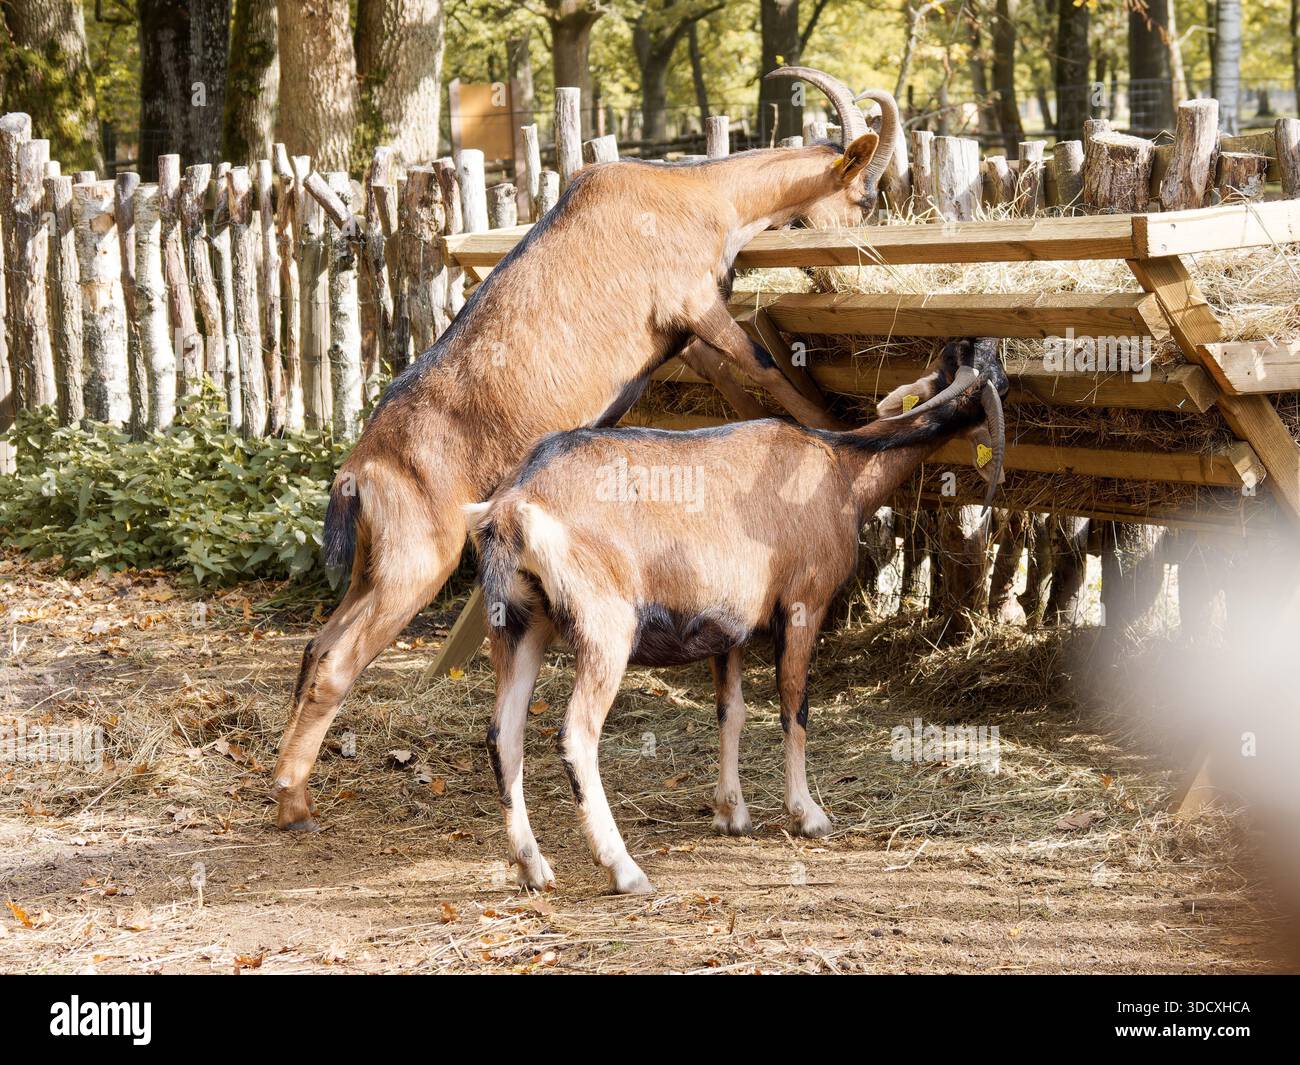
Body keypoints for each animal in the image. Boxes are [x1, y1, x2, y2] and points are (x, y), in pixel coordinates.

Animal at [272, 69, 900, 830]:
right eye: (864, 195)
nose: (861, 259)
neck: (694, 193)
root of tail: (358, 472)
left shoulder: (681, 338)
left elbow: (740, 376)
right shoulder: (694, 305)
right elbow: (764, 365)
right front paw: (837, 419)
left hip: (375, 562)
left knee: (318, 645)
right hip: (416, 561)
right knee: (337, 661)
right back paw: (293, 802)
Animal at [464, 338, 1008, 893]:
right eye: (998, 379)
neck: (841, 466)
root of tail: (512, 507)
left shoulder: (727, 628)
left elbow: (732, 711)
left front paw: (731, 814)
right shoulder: (803, 603)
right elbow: (794, 707)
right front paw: (808, 813)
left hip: (517, 624)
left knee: (502, 736)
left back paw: (533, 867)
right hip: (604, 629)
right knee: (576, 734)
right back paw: (623, 867)